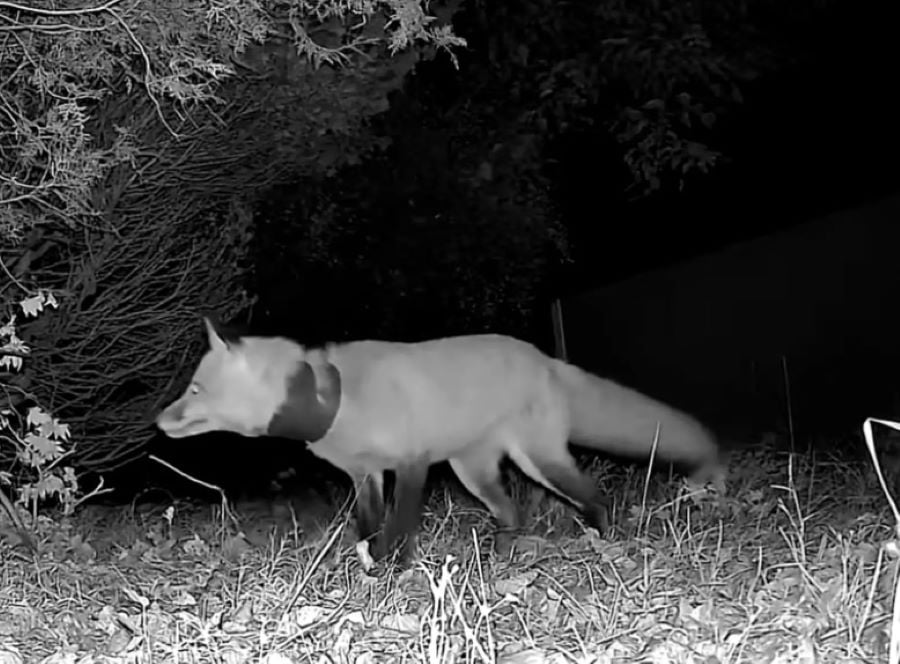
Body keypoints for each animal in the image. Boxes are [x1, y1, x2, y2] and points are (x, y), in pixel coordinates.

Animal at [156, 317, 723, 566]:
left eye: (195, 388)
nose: (158, 420)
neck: (336, 399)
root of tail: (545, 358)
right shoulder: (366, 476)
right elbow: (365, 529)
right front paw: (368, 566)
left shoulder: (413, 464)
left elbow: (399, 529)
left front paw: (393, 569)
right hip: (475, 474)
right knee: (514, 513)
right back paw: (502, 554)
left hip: (537, 460)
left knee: (593, 498)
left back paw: (604, 539)